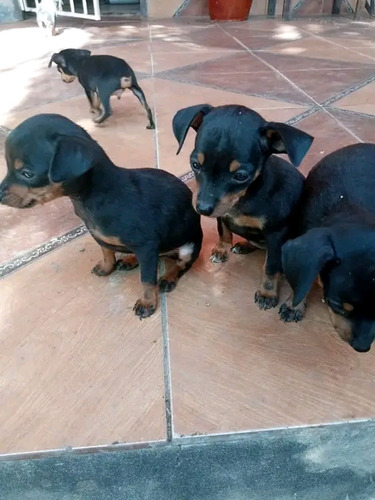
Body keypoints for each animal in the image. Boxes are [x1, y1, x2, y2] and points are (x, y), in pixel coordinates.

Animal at [0, 113, 203, 318]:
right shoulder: (102, 237)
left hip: (190, 246)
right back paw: (130, 259)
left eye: (27, 174)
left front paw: (147, 302)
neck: (87, 199)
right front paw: (107, 267)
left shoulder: (146, 246)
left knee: (182, 264)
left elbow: (146, 279)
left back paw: (168, 277)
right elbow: (106, 251)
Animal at [173, 104, 314, 310]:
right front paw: (221, 249)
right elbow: (223, 231)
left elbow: (271, 267)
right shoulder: (223, 213)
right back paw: (245, 245)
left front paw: (267, 293)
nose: (202, 209)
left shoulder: (276, 234)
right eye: (195, 164)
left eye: (240, 176)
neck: (244, 197)